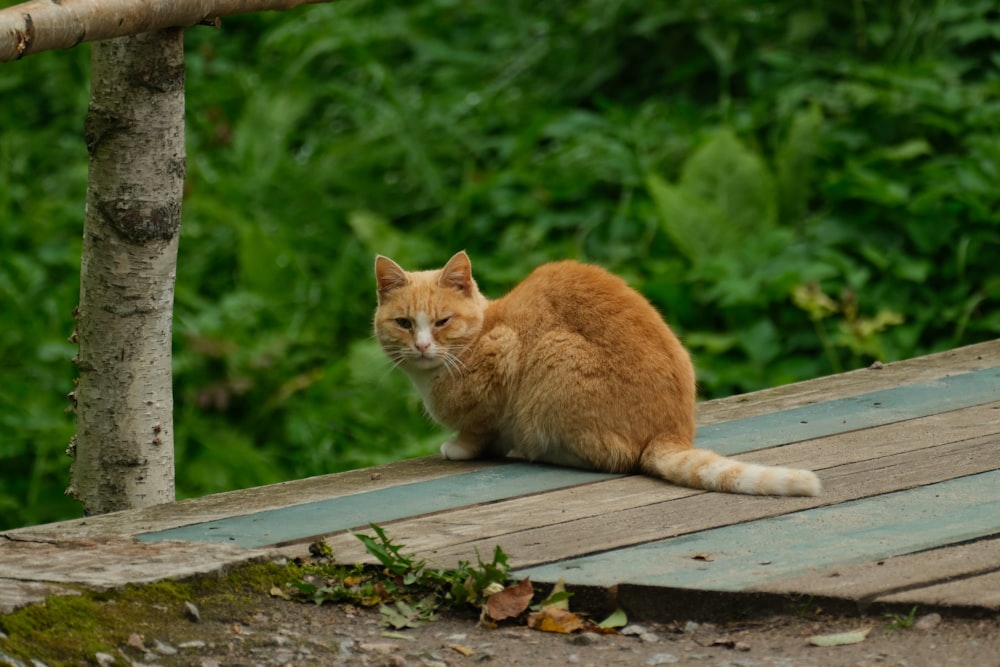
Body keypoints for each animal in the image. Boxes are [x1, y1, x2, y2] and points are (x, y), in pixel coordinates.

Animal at [376, 253, 820, 498]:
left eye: (442, 322)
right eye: (403, 324)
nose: (421, 346)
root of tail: (671, 430)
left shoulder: (503, 358)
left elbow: (479, 430)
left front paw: (461, 447)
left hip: (554, 358)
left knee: (614, 458)